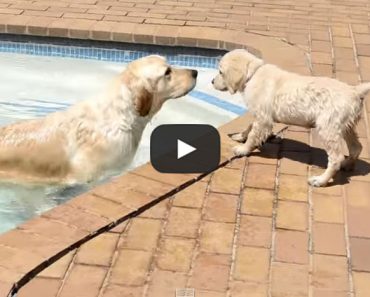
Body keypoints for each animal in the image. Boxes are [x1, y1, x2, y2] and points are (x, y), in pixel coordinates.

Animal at [211, 49, 370, 186]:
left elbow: (253, 135)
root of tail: (355, 91)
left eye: (220, 72)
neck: (254, 73)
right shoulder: (262, 116)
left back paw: (321, 180)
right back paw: (347, 164)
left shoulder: (263, 118)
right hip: (346, 125)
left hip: (328, 126)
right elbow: (250, 127)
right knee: (356, 147)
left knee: (336, 158)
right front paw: (240, 136)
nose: (212, 81)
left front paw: (243, 149)